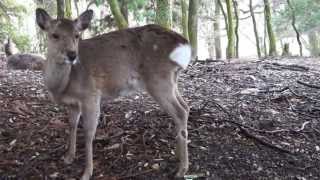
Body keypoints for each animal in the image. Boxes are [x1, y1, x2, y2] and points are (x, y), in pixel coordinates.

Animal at [37, 7, 192, 179]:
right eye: (54, 35)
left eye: (76, 35)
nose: (72, 55)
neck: (62, 87)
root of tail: (184, 45)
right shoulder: (72, 104)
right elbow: (72, 125)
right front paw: (68, 157)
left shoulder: (91, 96)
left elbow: (89, 133)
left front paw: (87, 173)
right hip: (172, 80)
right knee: (185, 107)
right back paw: (178, 154)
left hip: (158, 80)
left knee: (180, 112)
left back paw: (182, 169)